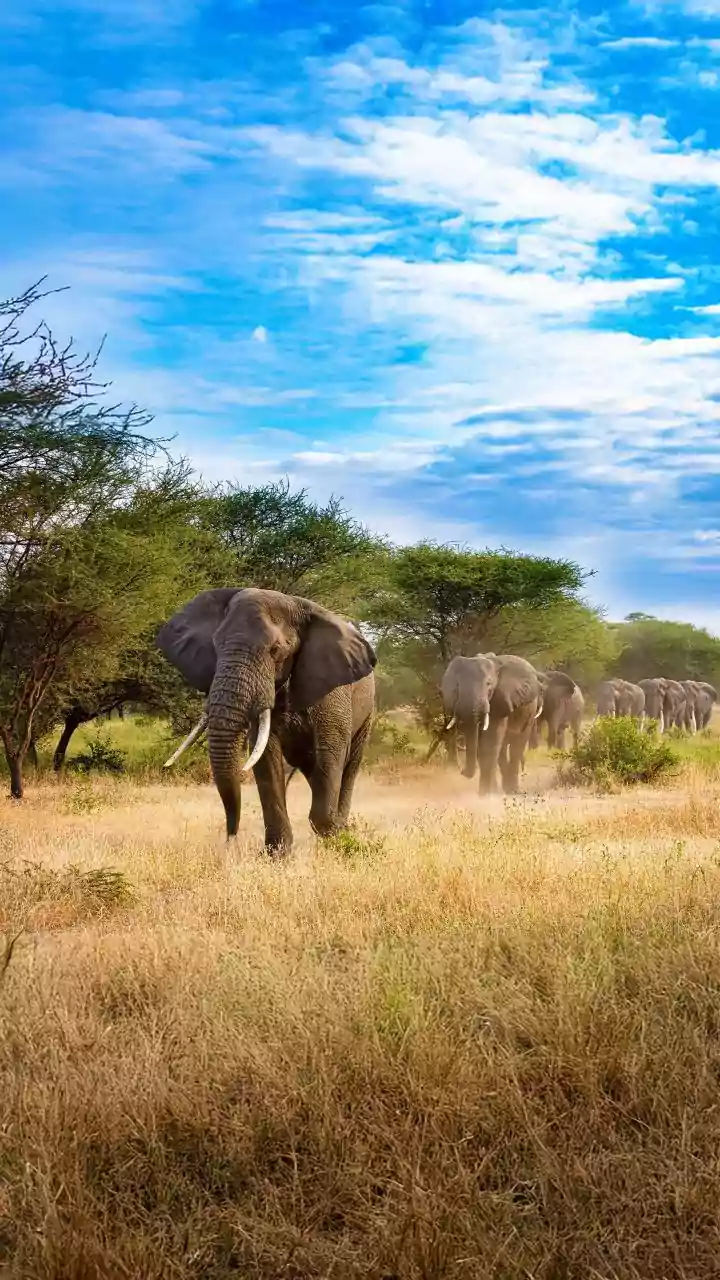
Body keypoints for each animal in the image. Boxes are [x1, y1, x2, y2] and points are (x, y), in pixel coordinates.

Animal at [156, 588, 377, 854]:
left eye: (275, 650)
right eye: (216, 646)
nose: (230, 837)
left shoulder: (333, 693)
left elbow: (331, 750)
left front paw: (332, 839)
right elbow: (265, 757)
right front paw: (277, 855)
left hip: (368, 712)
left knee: (349, 766)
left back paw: (341, 829)